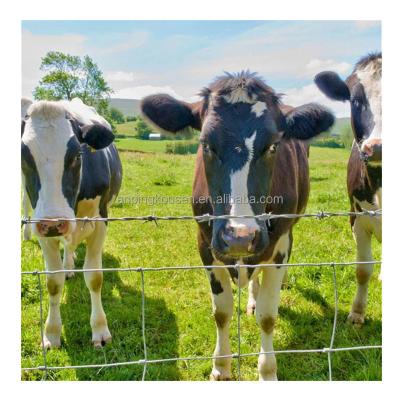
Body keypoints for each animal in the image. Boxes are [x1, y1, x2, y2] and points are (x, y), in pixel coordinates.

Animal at [21, 98, 122, 348]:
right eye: (23, 157)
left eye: (77, 155)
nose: (54, 223)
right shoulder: (41, 227)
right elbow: (53, 282)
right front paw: (51, 333)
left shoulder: (100, 221)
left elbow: (94, 277)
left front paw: (100, 329)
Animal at [141, 70, 334, 380]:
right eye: (206, 144)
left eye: (273, 145)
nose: (239, 237)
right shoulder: (205, 242)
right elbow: (221, 312)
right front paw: (221, 367)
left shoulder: (279, 244)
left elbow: (268, 315)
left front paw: (267, 371)